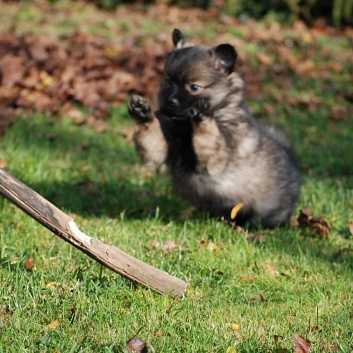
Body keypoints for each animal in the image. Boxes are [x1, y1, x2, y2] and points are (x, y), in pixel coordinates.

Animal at [128, 28, 298, 228]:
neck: (185, 127)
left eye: (194, 87)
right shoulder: (162, 151)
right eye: (169, 82)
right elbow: (152, 135)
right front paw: (142, 114)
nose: (170, 102)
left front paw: (202, 113)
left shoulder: (216, 158)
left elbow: (208, 135)